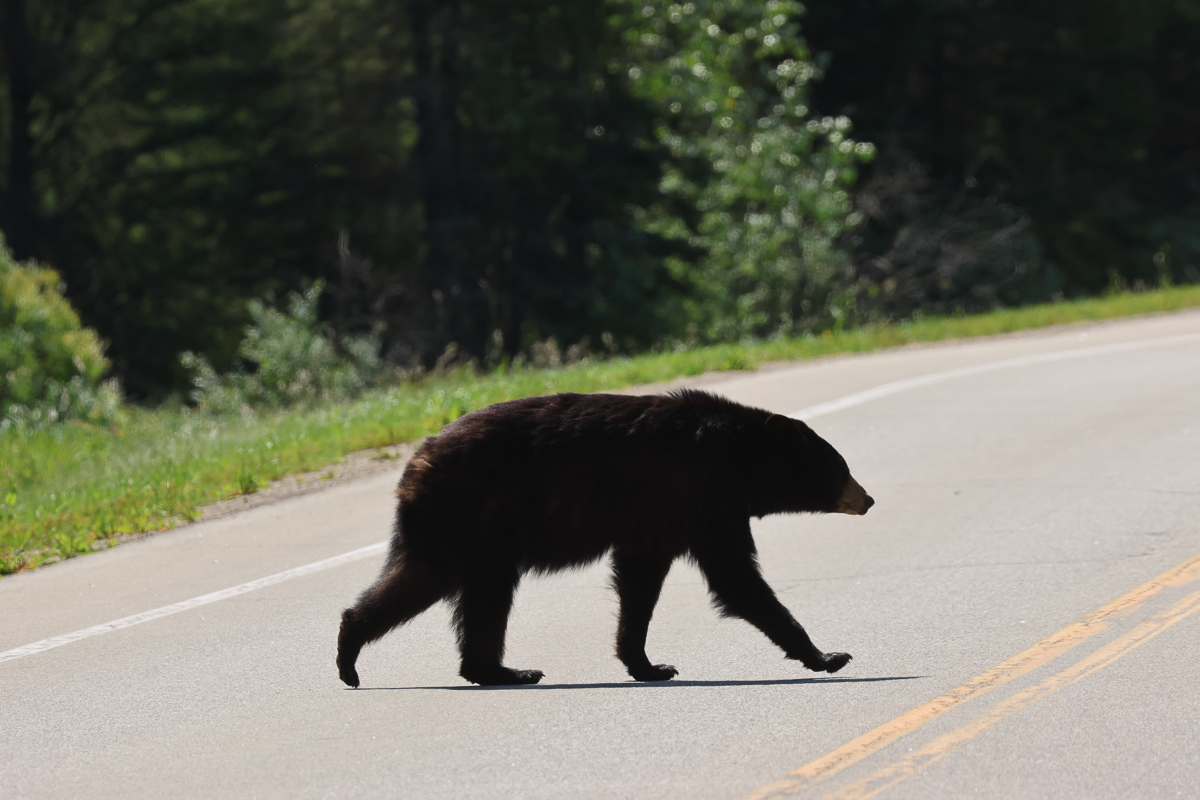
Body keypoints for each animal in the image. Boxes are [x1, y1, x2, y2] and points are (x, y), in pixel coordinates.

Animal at [337, 389, 873, 687]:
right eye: (840, 466)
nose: (868, 499)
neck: (737, 456)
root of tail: (414, 463)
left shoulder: (661, 519)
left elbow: (640, 582)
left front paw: (648, 664)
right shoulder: (701, 496)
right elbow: (736, 578)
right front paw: (828, 656)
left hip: (465, 532)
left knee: (452, 587)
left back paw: (493, 671)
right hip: (468, 517)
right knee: (457, 586)